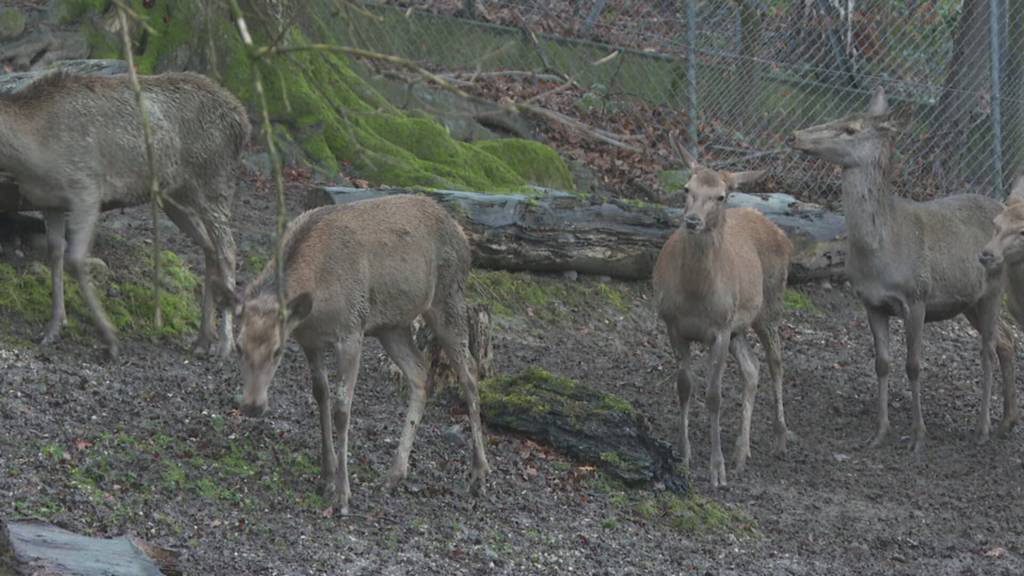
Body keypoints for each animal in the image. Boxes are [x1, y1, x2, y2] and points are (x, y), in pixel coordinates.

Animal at [0, 70, 246, 358]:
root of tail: (243, 120)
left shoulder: (86, 188)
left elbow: (76, 259)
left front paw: (109, 337)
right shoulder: (50, 202)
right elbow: (55, 255)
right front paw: (53, 328)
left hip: (214, 183)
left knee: (228, 249)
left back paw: (225, 344)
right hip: (174, 196)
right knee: (209, 248)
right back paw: (203, 338)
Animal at [223, 194, 491, 512]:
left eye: (277, 351)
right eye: (238, 346)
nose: (252, 405)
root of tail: (463, 236)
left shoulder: (351, 331)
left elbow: (342, 408)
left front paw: (342, 492)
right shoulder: (310, 341)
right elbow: (320, 395)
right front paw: (326, 474)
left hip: (448, 299)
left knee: (470, 374)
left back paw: (478, 474)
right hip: (392, 326)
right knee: (420, 373)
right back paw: (395, 474)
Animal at [655, 138, 790, 483]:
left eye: (720, 196)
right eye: (686, 189)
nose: (692, 220)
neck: (695, 295)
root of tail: (781, 232)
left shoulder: (719, 329)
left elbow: (714, 396)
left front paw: (717, 469)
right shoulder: (673, 325)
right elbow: (684, 387)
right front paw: (684, 455)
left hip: (769, 305)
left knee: (776, 361)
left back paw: (780, 438)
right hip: (739, 327)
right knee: (752, 368)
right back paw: (742, 451)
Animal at [790, 85, 1015, 448]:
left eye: (851, 128)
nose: (795, 135)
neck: (880, 256)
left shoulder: (916, 297)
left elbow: (914, 365)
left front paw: (918, 434)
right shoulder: (871, 302)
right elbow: (882, 363)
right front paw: (880, 432)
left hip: (993, 287)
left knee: (988, 350)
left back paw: (982, 429)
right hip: (969, 301)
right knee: (1006, 340)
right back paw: (1007, 421)